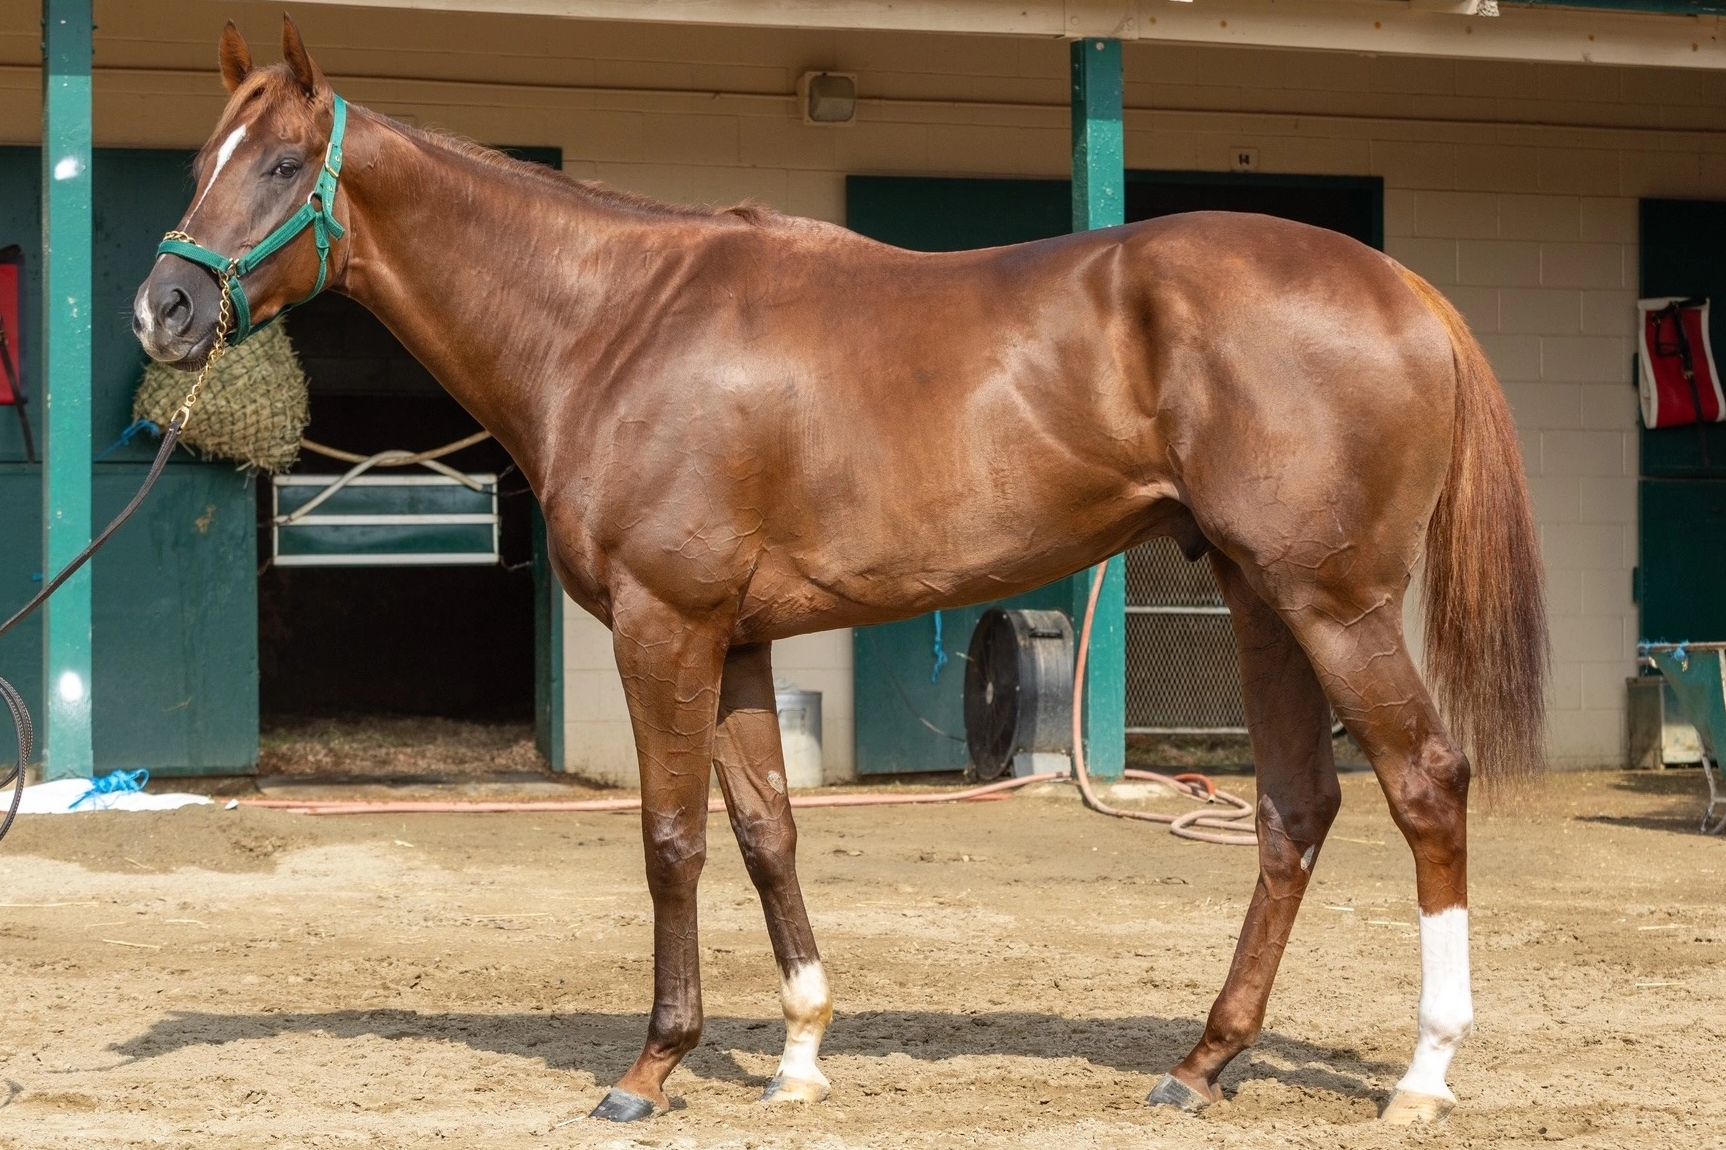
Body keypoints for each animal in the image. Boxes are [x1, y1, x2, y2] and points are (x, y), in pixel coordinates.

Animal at [133, 17, 1547, 1127]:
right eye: (201, 163)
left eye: (277, 164)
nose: (164, 310)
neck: (611, 321)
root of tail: (1406, 290)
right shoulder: (740, 638)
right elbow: (767, 830)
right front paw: (800, 1052)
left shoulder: (663, 625)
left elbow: (670, 838)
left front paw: (652, 1067)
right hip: (1264, 601)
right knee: (1295, 810)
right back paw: (1201, 1063)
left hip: (1332, 605)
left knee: (1425, 784)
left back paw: (1423, 1074)